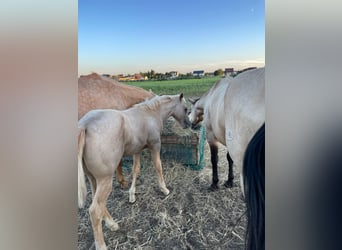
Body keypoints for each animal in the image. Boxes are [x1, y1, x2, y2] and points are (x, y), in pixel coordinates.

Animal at [78, 94, 191, 250]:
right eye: (185, 108)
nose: (188, 124)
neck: (151, 113)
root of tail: (85, 125)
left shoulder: (137, 150)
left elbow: (135, 170)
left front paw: (132, 195)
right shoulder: (155, 146)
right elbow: (158, 166)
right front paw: (164, 189)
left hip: (93, 178)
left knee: (99, 204)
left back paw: (112, 224)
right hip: (105, 180)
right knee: (95, 211)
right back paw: (102, 244)